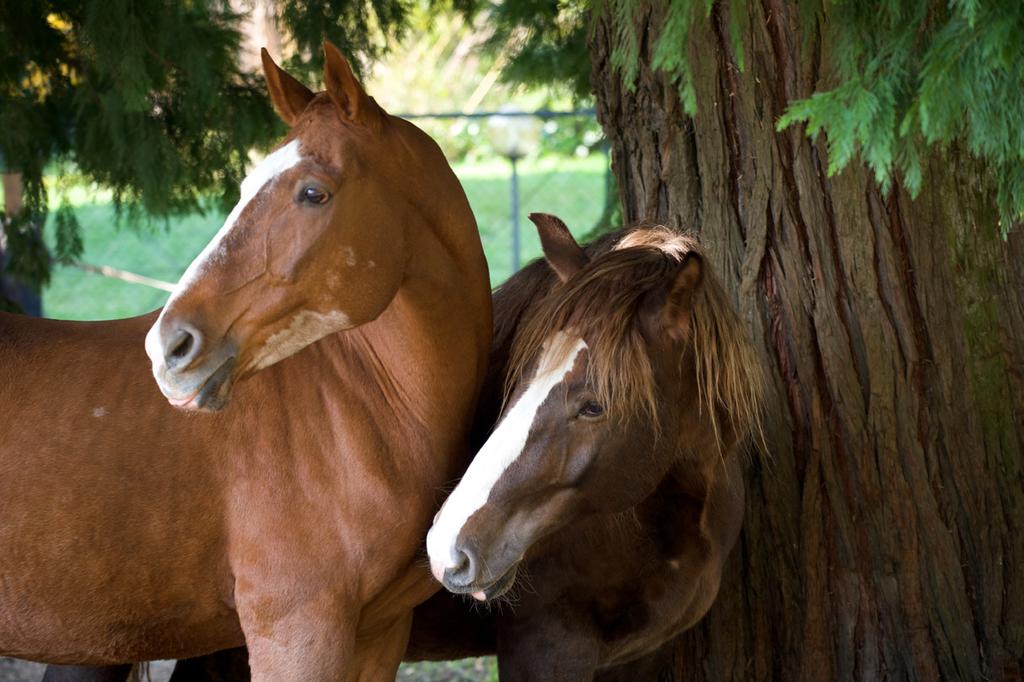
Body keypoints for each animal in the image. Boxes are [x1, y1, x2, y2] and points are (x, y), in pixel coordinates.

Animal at [0, 43, 491, 679]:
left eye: (313, 192)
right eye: (243, 185)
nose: (169, 348)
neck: (370, 407)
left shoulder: (379, 635)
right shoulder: (296, 632)